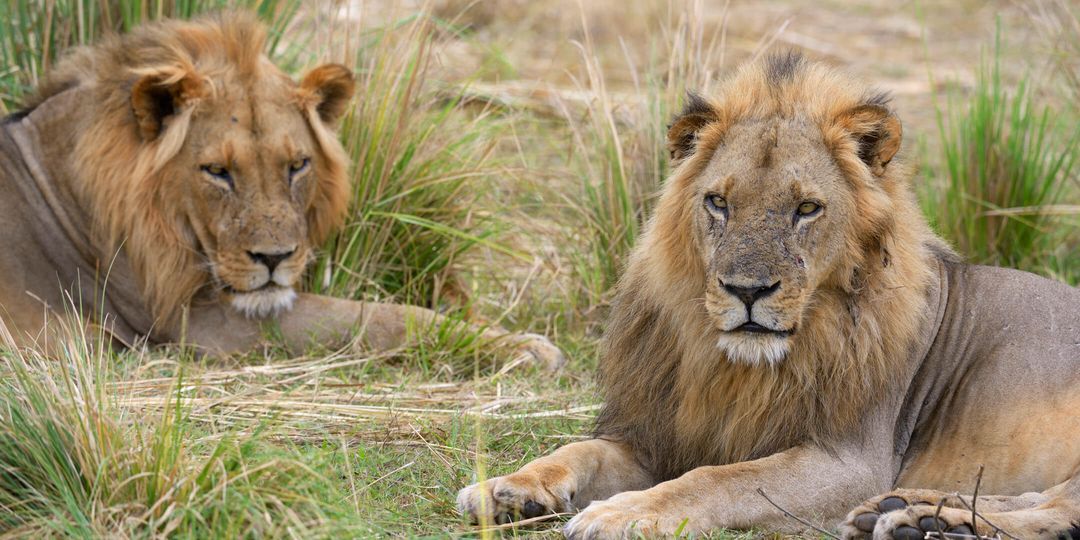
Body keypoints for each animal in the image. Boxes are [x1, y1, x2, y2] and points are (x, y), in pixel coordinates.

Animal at [0, 13, 563, 368]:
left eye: (297, 165)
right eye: (217, 171)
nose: (274, 259)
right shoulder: (196, 323)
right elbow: (378, 318)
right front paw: (521, 347)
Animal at [457, 52, 1080, 539]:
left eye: (806, 208)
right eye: (718, 203)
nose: (747, 291)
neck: (739, 370)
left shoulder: (851, 459)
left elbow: (721, 479)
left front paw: (622, 513)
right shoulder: (657, 435)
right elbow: (577, 451)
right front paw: (506, 487)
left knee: (1057, 510)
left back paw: (926, 522)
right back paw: (908, 511)